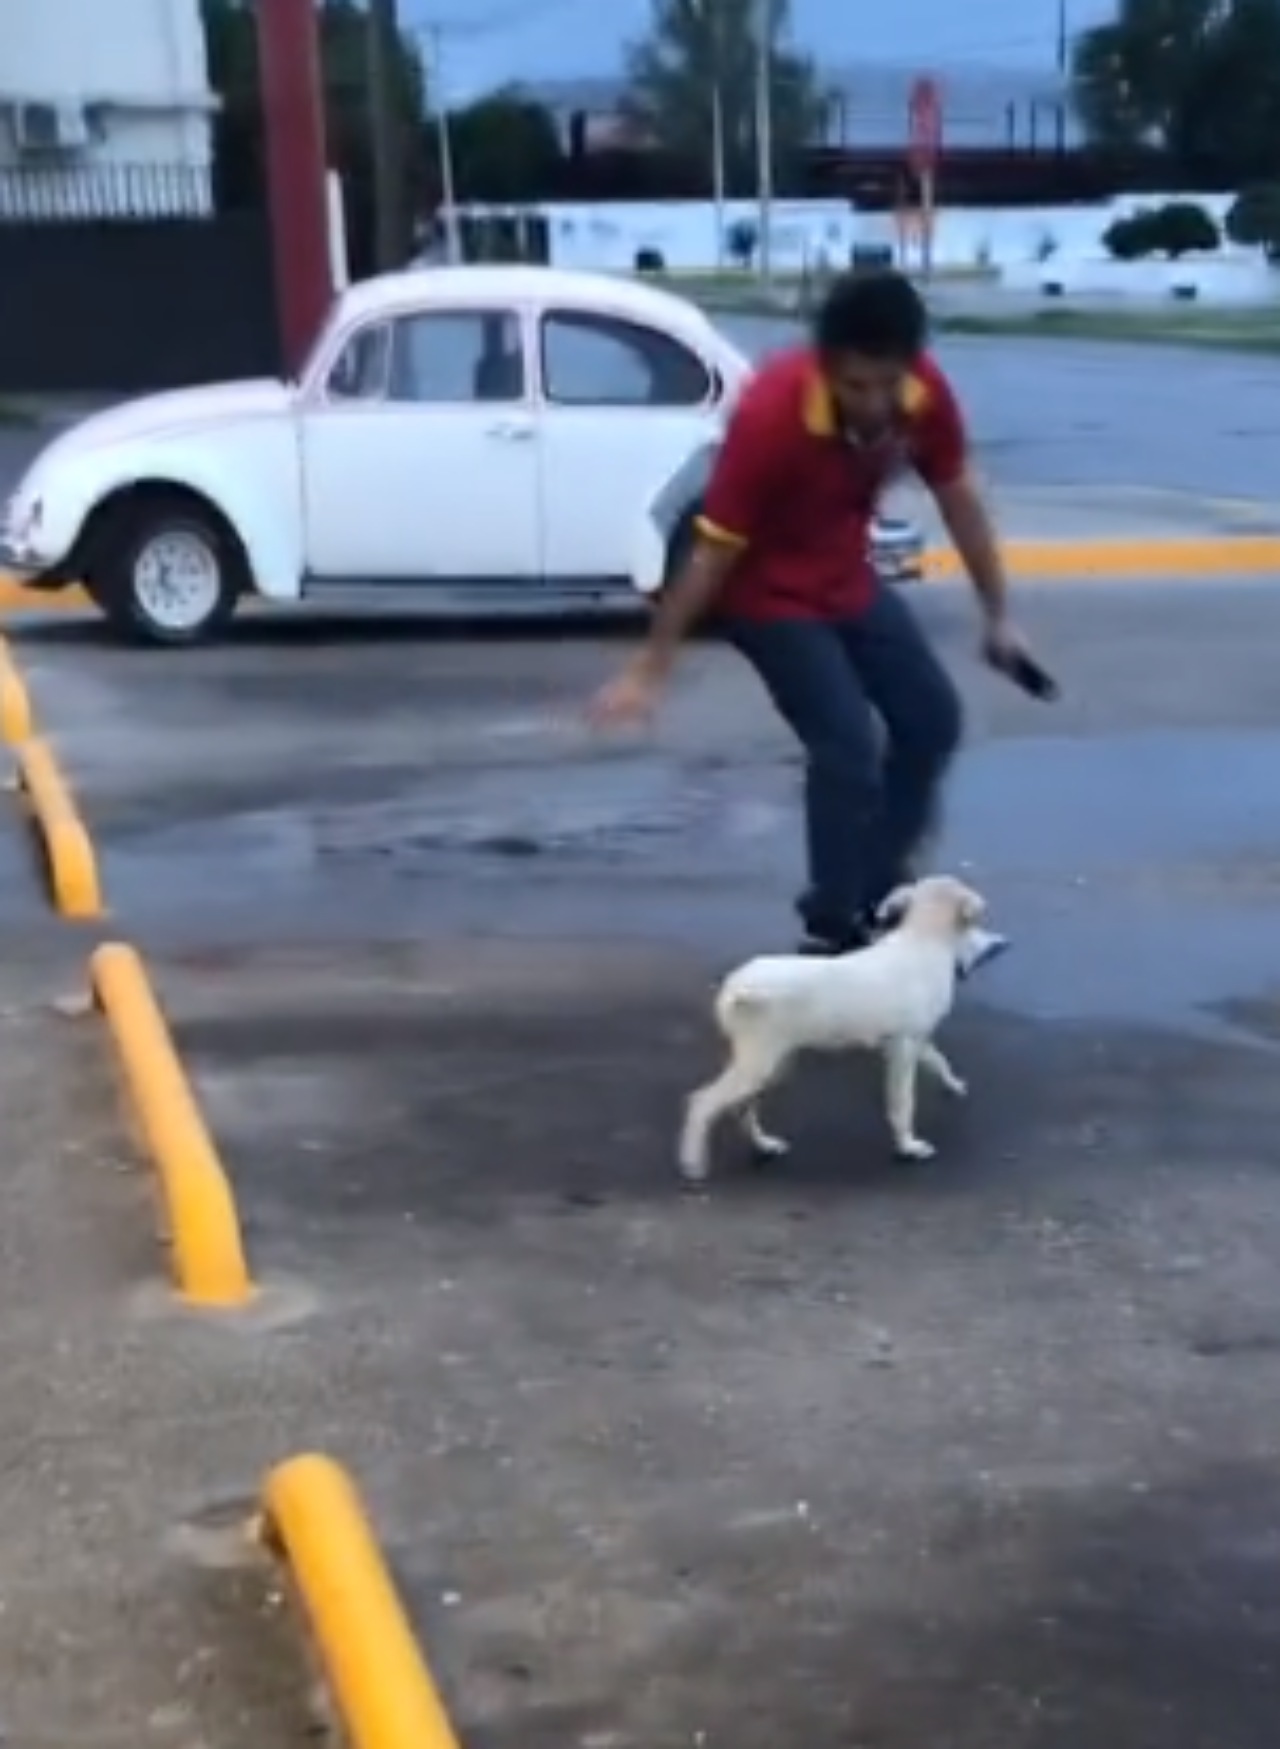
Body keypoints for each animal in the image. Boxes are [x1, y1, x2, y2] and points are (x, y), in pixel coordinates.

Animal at [678, 874, 979, 1189]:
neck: (922, 939)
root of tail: (735, 986)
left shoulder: (916, 1040)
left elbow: (939, 1060)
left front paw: (954, 1083)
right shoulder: (902, 1048)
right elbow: (903, 1103)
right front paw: (908, 1146)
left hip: (774, 1066)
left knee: (741, 1108)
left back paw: (764, 1145)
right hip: (758, 1063)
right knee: (702, 1102)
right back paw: (693, 1164)